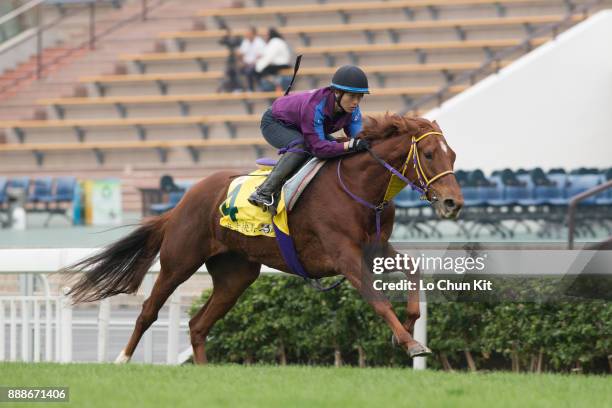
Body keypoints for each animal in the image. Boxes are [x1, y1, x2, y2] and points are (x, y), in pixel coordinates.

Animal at [63, 113, 464, 364]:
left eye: (454, 155)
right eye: (429, 154)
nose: (453, 203)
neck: (359, 188)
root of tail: (180, 204)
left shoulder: (376, 249)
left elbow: (413, 271)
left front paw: (407, 327)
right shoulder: (345, 256)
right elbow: (378, 301)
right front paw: (410, 343)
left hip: (236, 275)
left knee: (198, 326)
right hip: (179, 261)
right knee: (149, 310)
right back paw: (121, 359)